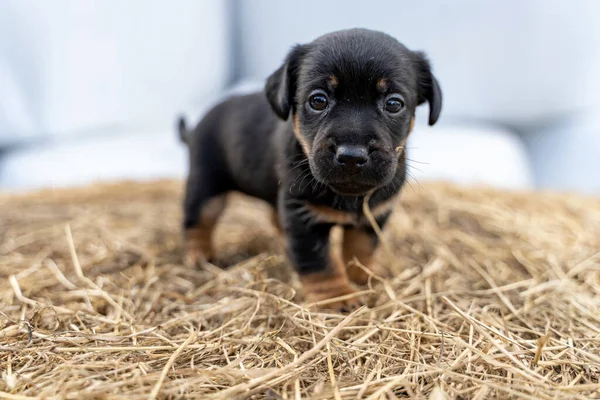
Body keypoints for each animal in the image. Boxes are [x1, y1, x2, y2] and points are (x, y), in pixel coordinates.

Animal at [177, 28, 440, 310]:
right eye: (318, 100)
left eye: (393, 104)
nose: (351, 156)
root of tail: (195, 127)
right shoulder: (302, 218)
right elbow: (320, 262)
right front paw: (336, 297)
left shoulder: (374, 215)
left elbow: (361, 248)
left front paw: (364, 275)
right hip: (206, 185)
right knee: (197, 221)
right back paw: (199, 256)